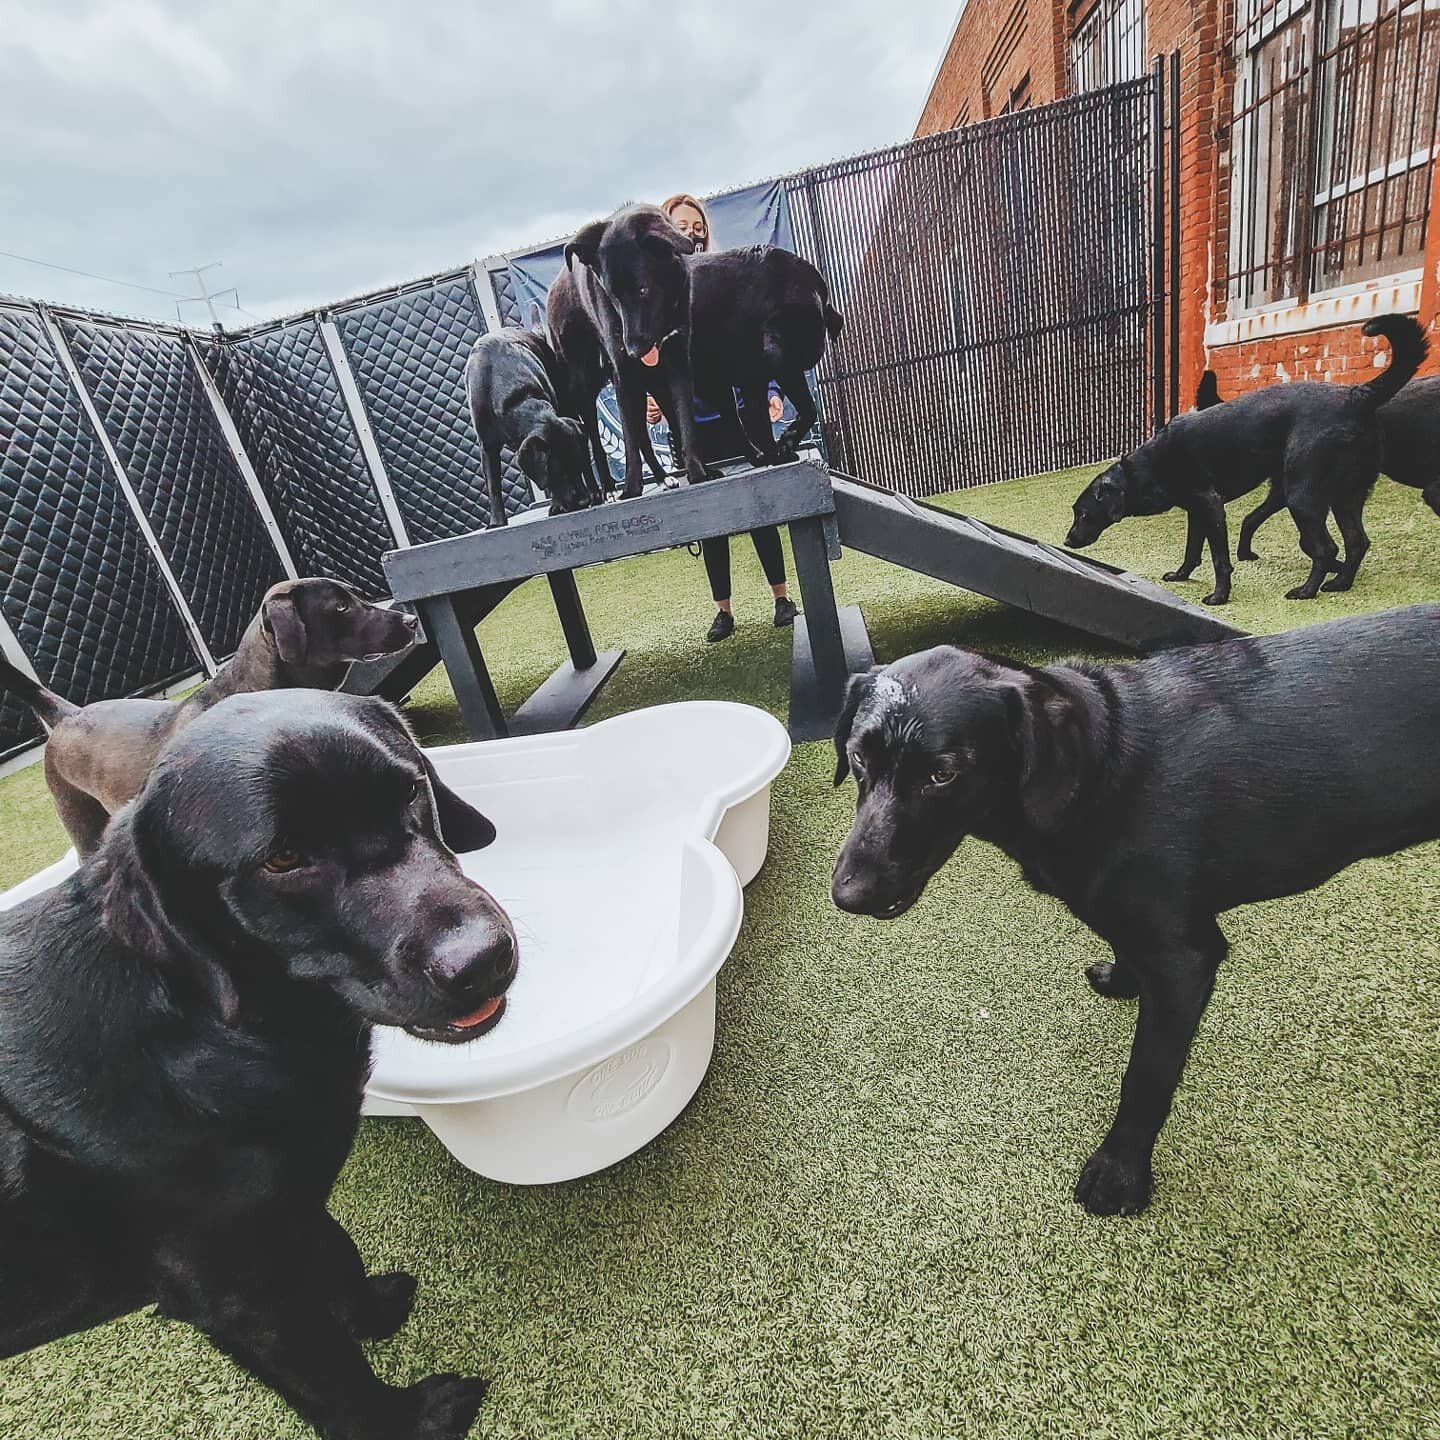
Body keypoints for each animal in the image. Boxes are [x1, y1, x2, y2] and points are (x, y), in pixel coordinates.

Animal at [0, 691, 518, 1434]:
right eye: (283, 859)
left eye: (411, 791)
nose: (483, 959)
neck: (203, 1027)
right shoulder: (236, 1290)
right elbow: (335, 1379)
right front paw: (410, 1418)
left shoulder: (288, 1192)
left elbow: (333, 1250)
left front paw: (367, 1310)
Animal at [460, 328, 596, 529]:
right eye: (559, 473)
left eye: (575, 468)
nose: (584, 501)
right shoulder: (487, 445)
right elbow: (493, 485)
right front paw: (496, 522)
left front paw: (557, 505)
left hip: (566, 401)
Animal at [685, 247, 840, 466]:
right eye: (773, 323)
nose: (769, 355)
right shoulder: (756, 379)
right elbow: (762, 423)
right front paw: (777, 454)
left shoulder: (789, 371)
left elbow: (809, 408)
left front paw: (787, 441)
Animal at [829, 604, 1440, 1215]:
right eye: (857, 758)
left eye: (942, 774)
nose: (848, 895)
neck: (1101, 769)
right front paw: (1123, 978)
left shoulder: (1185, 961)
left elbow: (1145, 1078)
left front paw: (1119, 1174)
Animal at [1065, 312, 1422, 604]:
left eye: (1083, 513)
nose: (1067, 541)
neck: (1146, 466)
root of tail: (1357, 396)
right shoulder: (1197, 511)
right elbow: (1192, 550)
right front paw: (1181, 575)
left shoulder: (1210, 506)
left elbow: (1219, 559)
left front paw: (1219, 596)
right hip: (1345, 495)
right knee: (1357, 541)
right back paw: (1339, 583)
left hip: (1302, 496)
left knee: (1327, 548)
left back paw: (1307, 591)